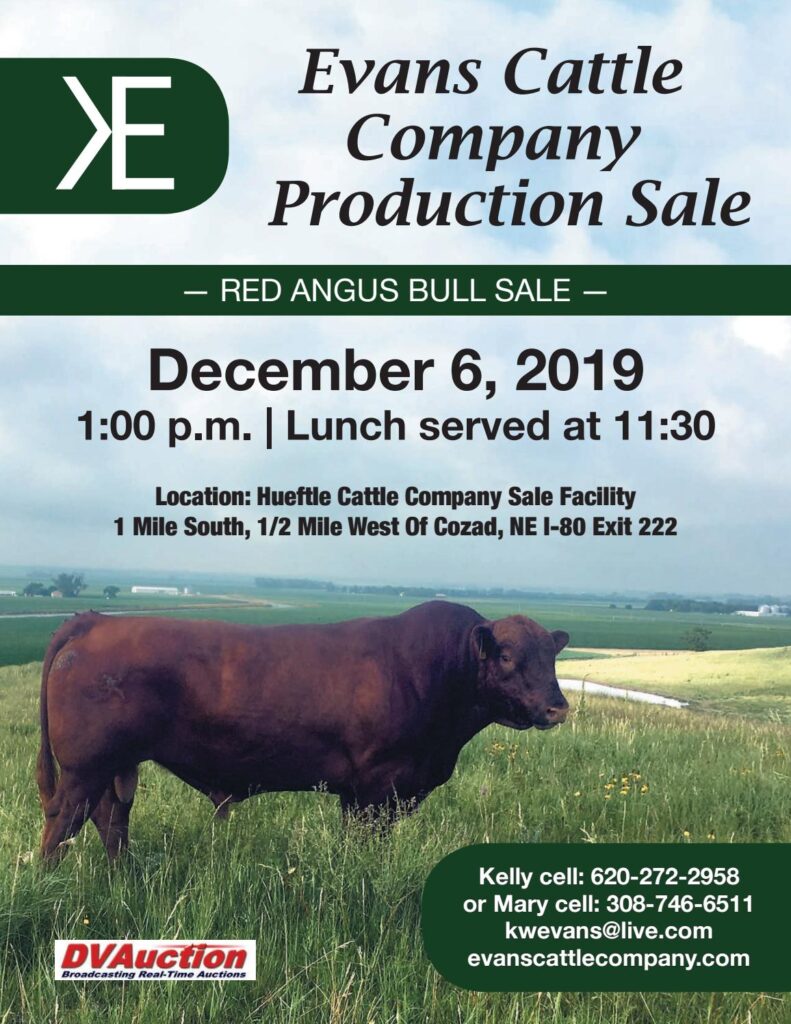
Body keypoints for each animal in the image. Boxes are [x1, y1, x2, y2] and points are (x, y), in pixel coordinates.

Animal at [37, 600, 569, 861]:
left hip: (114, 766)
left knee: (110, 819)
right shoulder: (375, 789)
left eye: (551, 655)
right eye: (507, 655)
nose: (557, 707)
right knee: (63, 823)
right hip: (84, 767)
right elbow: (364, 849)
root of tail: (96, 622)